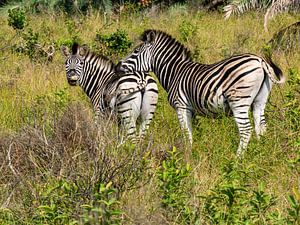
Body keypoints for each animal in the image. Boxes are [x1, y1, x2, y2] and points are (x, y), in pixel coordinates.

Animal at [116, 29, 284, 156]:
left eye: (135, 52)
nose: (117, 65)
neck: (174, 72)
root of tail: (260, 61)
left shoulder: (181, 106)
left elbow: (186, 132)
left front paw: (188, 156)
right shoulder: (191, 110)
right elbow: (191, 132)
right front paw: (192, 152)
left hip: (239, 101)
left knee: (246, 130)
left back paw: (238, 159)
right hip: (259, 101)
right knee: (261, 127)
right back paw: (260, 153)